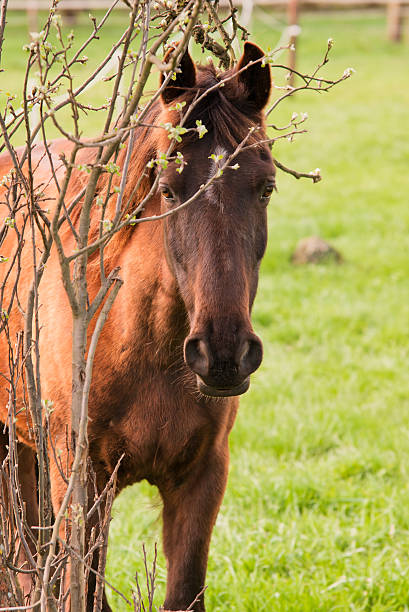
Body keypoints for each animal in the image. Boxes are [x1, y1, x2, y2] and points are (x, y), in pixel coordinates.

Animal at [0, 41, 274, 608]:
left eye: (266, 188)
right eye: (167, 190)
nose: (223, 354)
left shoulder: (203, 478)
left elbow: (185, 592)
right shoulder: (81, 481)